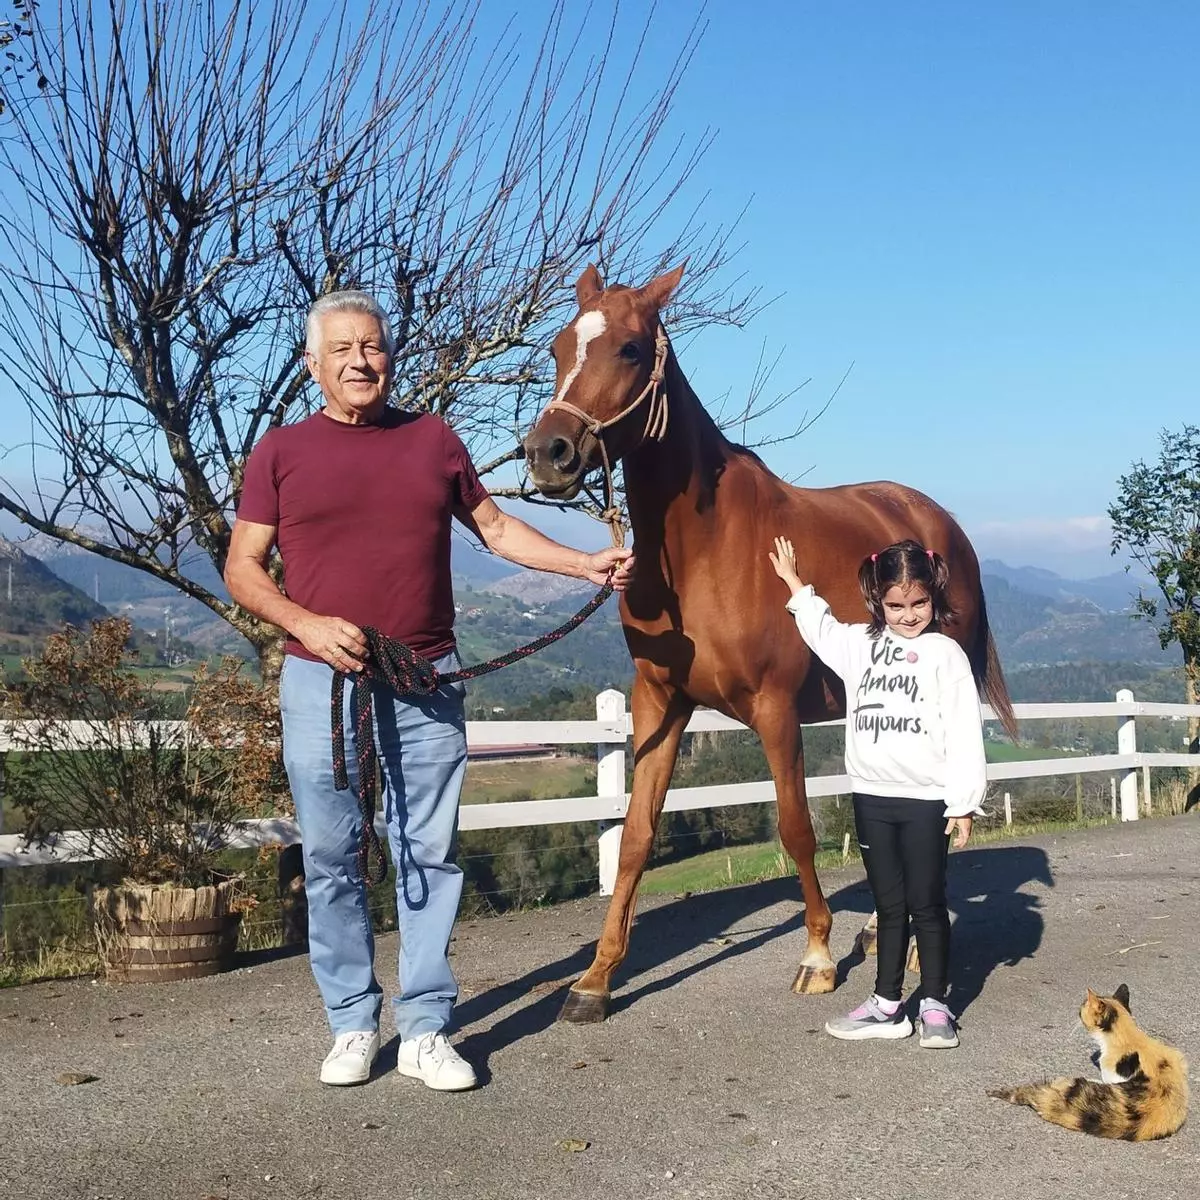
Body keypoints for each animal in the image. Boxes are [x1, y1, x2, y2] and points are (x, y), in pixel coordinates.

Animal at [522, 262, 1017, 1023]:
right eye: (556, 347)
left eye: (630, 349)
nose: (548, 454)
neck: (704, 550)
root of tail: (941, 524)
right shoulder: (658, 704)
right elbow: (635, 837)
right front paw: (596, 980)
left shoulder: (775, 709)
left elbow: (795, 828)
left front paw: (817, 955)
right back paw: (881, 932)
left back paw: (895, 944)